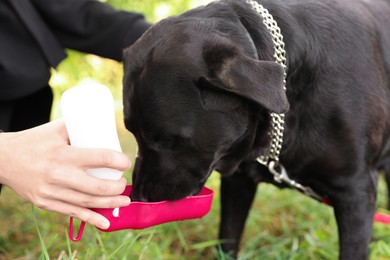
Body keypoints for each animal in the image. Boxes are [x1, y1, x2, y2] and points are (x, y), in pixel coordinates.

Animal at [122, 1, 390, 258]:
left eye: (168, 139)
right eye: (132, 132)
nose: (140, 196)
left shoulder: (355, 191)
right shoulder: (238, 182)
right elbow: (228, 239)